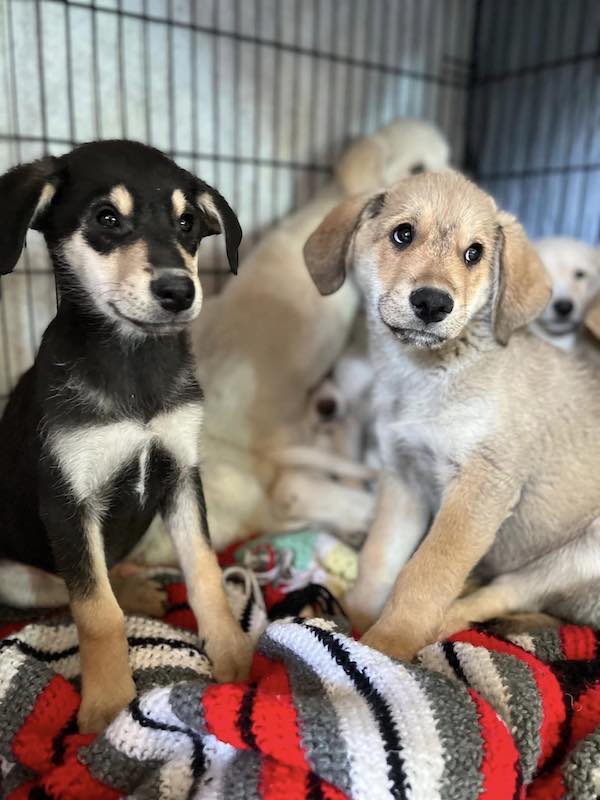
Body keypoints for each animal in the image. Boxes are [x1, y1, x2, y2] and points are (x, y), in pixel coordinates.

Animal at [0, 142, 253, 732]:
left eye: (187, 223)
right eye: (106, 219)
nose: (179, 291)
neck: (133, 361)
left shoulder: (181, 474)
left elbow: (204, 570)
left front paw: (232, 652)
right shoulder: (68, 503)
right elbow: (96, 611)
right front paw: (108, 703)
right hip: (14, 575)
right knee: (69, 587)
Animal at [304, 170, 600, 664]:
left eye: (474, 253)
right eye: (403, 234)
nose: (432, 303)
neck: (425, 376)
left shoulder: (482, 485)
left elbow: (426, 574)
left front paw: (387, 645)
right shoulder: (404, 479)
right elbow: (381, 559)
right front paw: (360, 620)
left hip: (580, 553)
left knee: (496, 595)